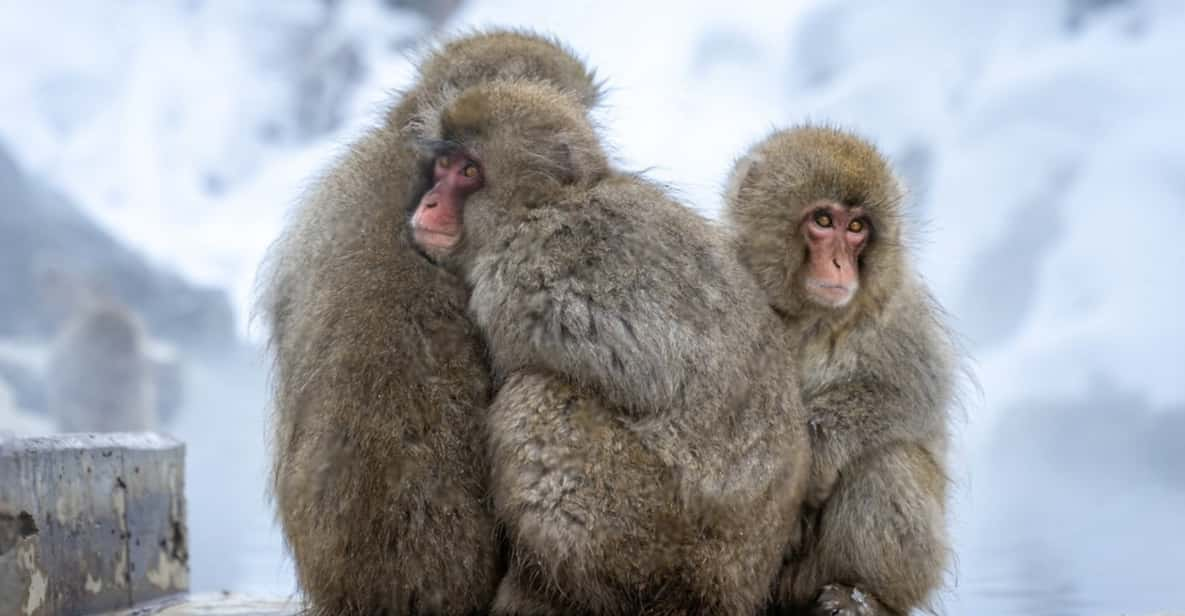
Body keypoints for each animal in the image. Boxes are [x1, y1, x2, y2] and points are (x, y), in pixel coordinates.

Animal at [410, 81, 815, 616]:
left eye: (469, 172)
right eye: (444, 164)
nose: (429, 202)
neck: (539, 208)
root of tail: (736, 586)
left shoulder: (519, 280)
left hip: (651, 534)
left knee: (535, 398)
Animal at [720, 126, 962, 616]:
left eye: (856, 228)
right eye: (823, 220)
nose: (839, 265)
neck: (805, 316)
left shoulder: (897, 311)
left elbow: (912, 393)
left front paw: (817, 450)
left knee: (888, 460)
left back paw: (861, 594)